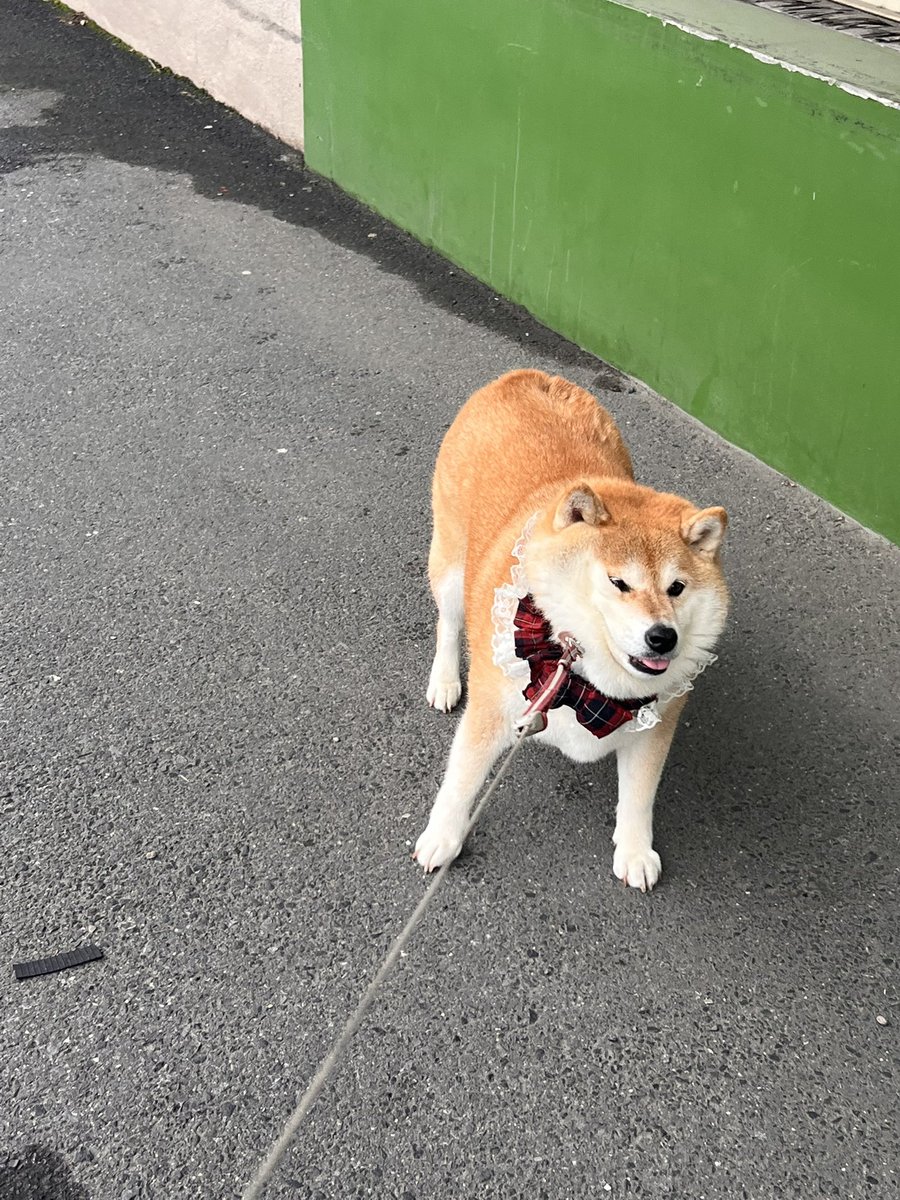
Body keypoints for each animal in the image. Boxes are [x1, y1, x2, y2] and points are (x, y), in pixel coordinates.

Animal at [414, 369, 728, 890]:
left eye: (677, 587)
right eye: (618, 582)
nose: (663, 637)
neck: (582, 677)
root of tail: (523, 376)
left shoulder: (654, 725)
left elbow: (639, 795)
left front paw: (635, 850)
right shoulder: (492, 711)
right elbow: (461, 779)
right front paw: (442, 835)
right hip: (453, 567)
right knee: (449, 622)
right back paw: (444, 680)